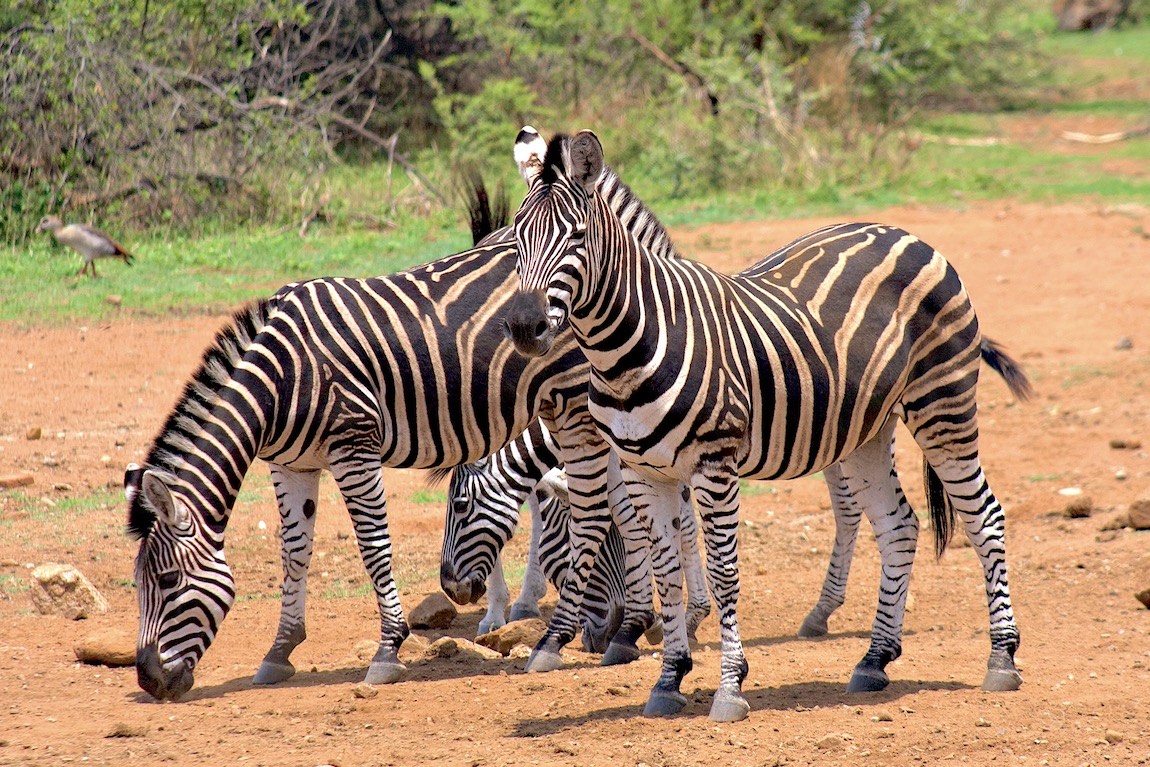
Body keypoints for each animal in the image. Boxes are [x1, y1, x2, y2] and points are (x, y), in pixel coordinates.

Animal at [501, 128, 1031, 722]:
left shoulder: (715, 464)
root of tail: (906, 234)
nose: (522, 327)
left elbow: (724, 573)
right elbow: (666, 571)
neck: (631, 345)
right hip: (867, 431)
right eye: (516, 238)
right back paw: (874, 660)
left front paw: (730, 688)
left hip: (943, 404)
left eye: (575, 236)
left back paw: (1001, 659)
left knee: (985, 517)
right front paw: (668, 680)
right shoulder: (644, 472)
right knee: (899, 527)